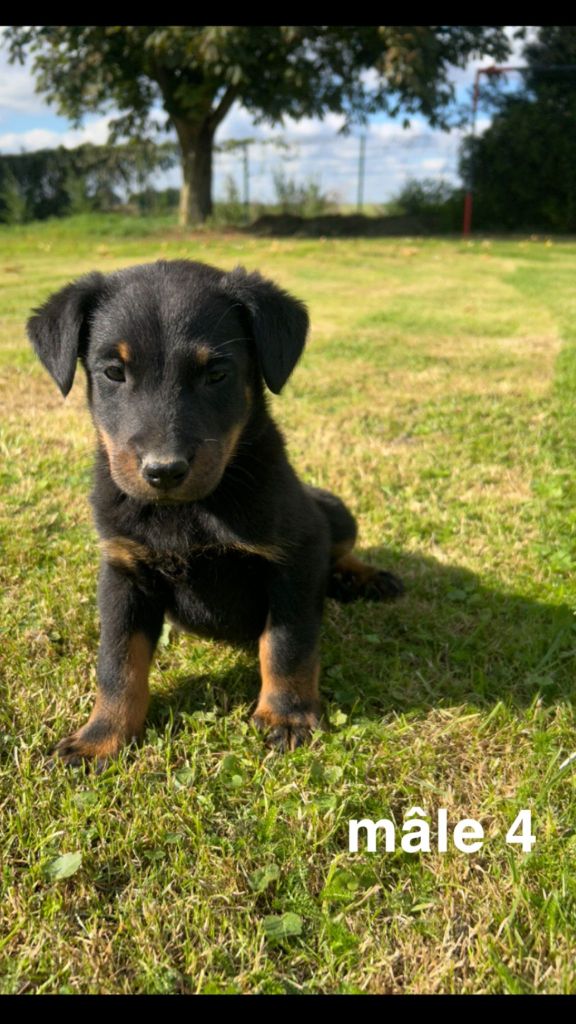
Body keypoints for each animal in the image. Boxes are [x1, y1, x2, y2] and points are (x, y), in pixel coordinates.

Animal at [28, 260, 403, 765]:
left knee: (340, 550)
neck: (188, 513)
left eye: (217, 374)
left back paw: (363, 577)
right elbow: (118, 663)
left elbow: (287, 644)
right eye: (113, 372)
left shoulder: (295, 556)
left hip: (333, 510)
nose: (163, 470)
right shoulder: (123, 572)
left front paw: (286, 715)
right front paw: (100, 737)